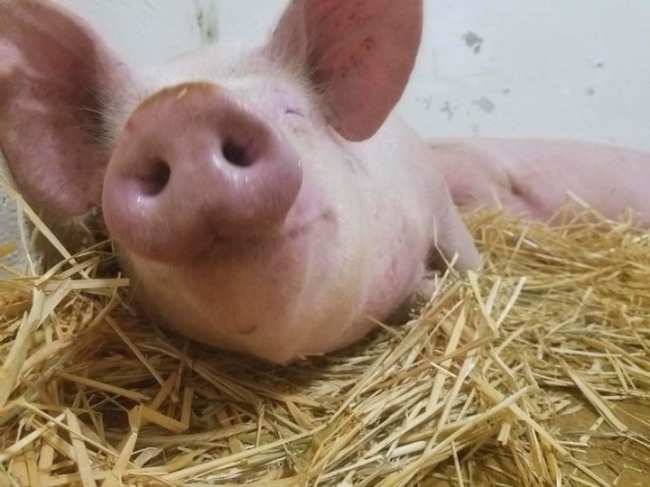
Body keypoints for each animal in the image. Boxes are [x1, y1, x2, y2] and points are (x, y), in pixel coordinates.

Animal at [0, 0, 644, 362]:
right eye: (119, 145)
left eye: (291, 112)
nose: (180, 110)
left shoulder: (433, 204)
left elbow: (457, 271)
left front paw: (445, 288)